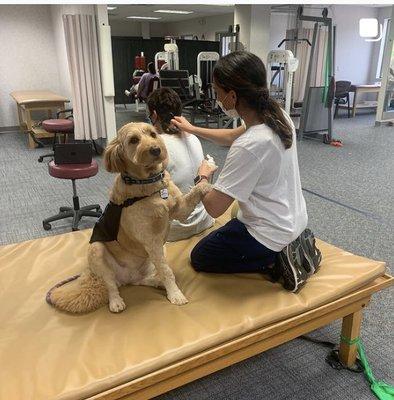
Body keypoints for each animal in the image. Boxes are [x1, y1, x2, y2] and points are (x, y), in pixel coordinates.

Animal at [47, 122, 212, 312]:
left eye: (153, 134)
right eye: (134, 140)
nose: (156, 149)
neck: (149, 183)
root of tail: (125, 278)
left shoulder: (180, 211)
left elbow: (193, 194)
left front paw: (208, 185)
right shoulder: (151, 240)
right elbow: (167, 271)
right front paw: (175, 294)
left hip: (158, 253)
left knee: (142, 279)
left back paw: (156, 282)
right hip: (96, 250)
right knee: (110, 284)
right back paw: (116, 301)